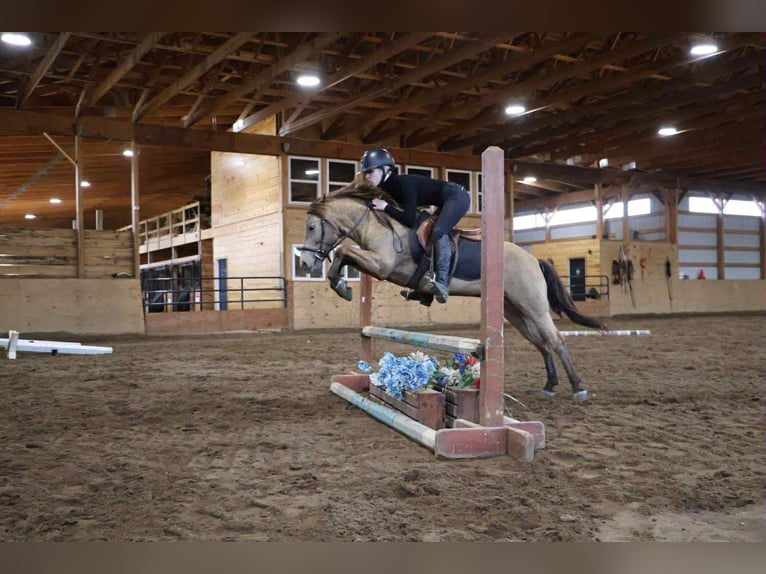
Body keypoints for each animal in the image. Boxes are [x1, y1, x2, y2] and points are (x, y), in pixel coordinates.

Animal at [298, 182, 605, 400]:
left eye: (312, 227)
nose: (305, 263)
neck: (379, 226)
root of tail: (533, 259)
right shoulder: (374, 263)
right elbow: (344, 254)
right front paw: (341, 285)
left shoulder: (383, 266)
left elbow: (343, 250)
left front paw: (341, 285)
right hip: (515, 311)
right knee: (541, 343)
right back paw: (550, 385)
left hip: (534, 306)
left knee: (556, 340)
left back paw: (578, 388)